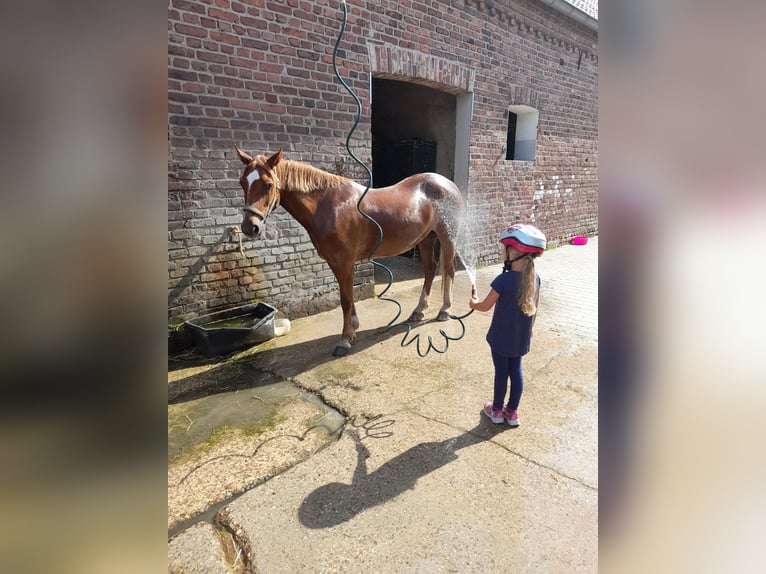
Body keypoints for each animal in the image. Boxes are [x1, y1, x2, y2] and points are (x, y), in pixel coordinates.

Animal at [234, 146, 464, 358]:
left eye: (268, 184)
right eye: (242, 182)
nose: (249, 227)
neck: (327, 206)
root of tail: (448, 183)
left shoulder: (343, 262)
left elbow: (345, 299)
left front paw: (344, 340)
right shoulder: (337, 263)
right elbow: (348, 297)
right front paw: (353, 330)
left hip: (448, 237)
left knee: (449, 269)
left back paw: (444, 310)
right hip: (426, 239)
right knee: (430, 270)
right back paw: (419, 311)